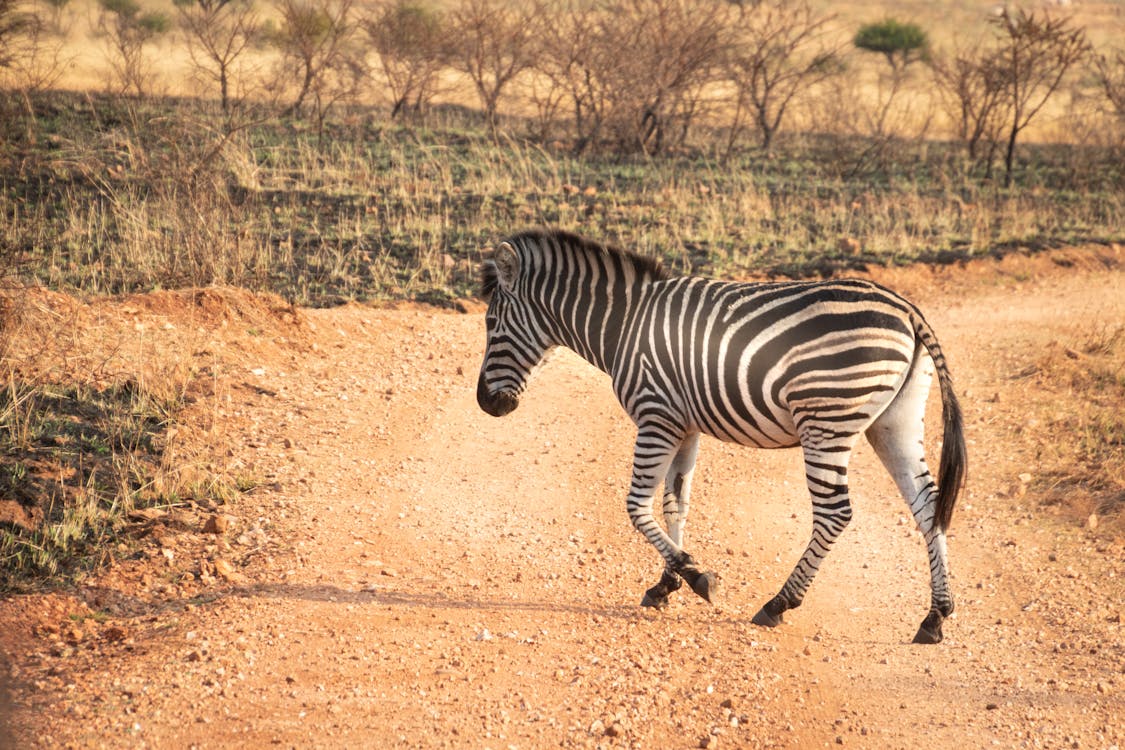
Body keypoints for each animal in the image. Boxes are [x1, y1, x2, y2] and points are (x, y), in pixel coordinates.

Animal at [474, 230, 967, 647]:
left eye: (492, 323)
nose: (485, 404)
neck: (623, 325)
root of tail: (906, 308)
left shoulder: (656, 416)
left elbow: (636, 506)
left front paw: (696, 577)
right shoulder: (683, 424)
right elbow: (675, 503)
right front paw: (667, 582)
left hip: (825, 420)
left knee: (835, 514)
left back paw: (778, 604)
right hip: (894, 421)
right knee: (928, 505)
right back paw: (935, 617)